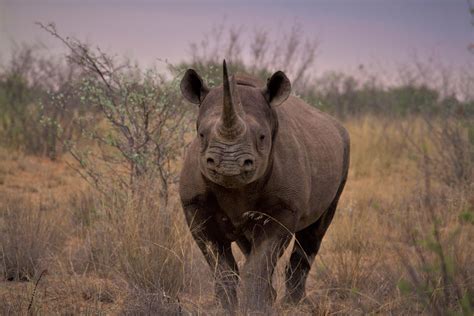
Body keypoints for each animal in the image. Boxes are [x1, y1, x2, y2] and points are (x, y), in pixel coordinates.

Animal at [180, 61, 350, 312]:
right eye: (201, 135)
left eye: (262, 137)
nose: (228, 164)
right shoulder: (195, 206)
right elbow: (221, 265)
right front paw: (226, 309)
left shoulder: (284, 207)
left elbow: (259, 263)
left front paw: (256, 309)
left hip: (344, 149)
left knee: (314, 232)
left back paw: (295, 305)